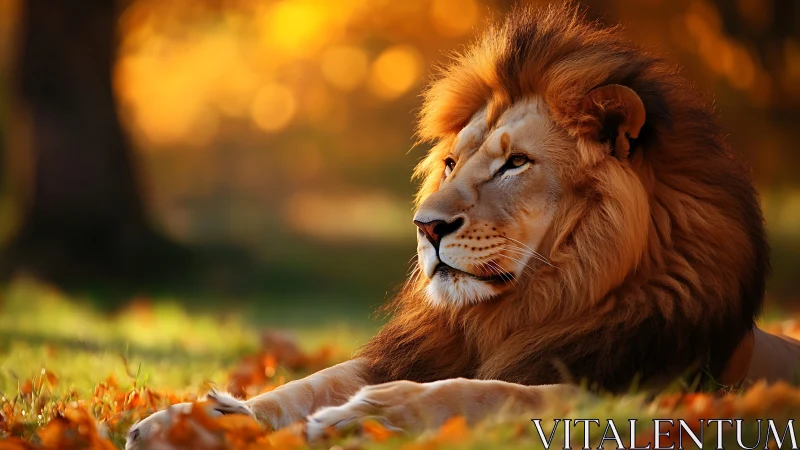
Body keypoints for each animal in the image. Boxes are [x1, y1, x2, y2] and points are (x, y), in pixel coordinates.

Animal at [127, 4, 800, 448]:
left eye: (515, 163)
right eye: (452, 162)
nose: (425, 227)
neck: (531, 305)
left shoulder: (649, 394)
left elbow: (490, 392)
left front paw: (367, 415)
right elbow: (306, 384)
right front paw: (192, 420)